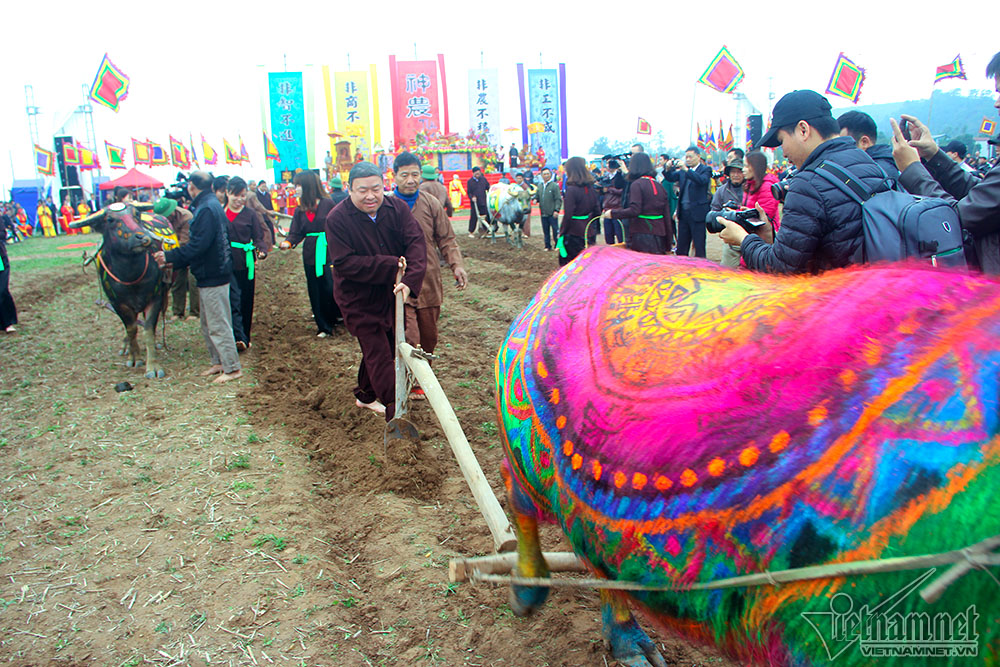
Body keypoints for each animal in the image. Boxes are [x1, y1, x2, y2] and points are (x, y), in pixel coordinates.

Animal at [498, 248, 1000, 664]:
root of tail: (579, 262)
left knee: (593, 557)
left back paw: (627, 640)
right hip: (524, 451)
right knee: (518, 501)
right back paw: (529, 591)